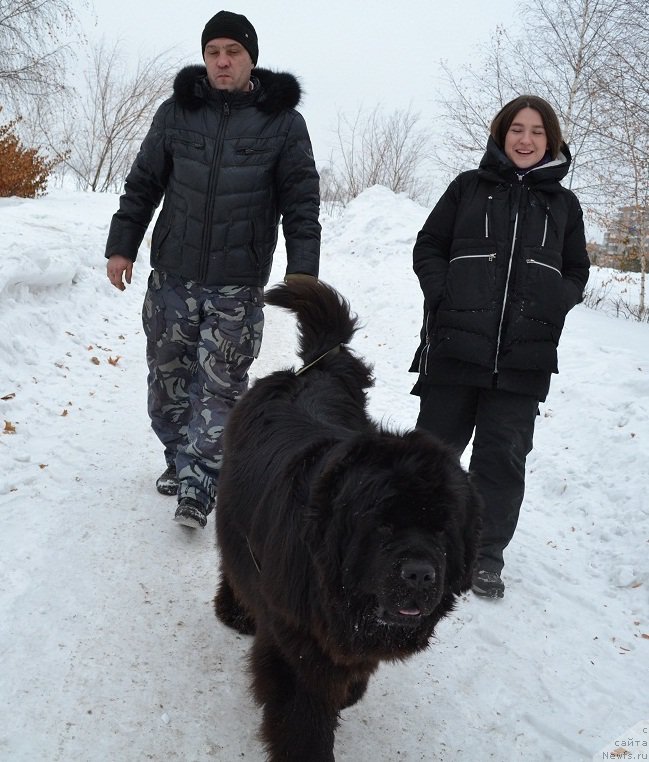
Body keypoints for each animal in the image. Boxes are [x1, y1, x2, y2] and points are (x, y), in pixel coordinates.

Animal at [214, 280, 480, 760]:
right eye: (384, 525)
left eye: (442, 530)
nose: (419, 574)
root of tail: (310, 371)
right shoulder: (296, 639)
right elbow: (303, 712)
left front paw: (351, 693)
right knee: (233, 561)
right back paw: (235, 612)